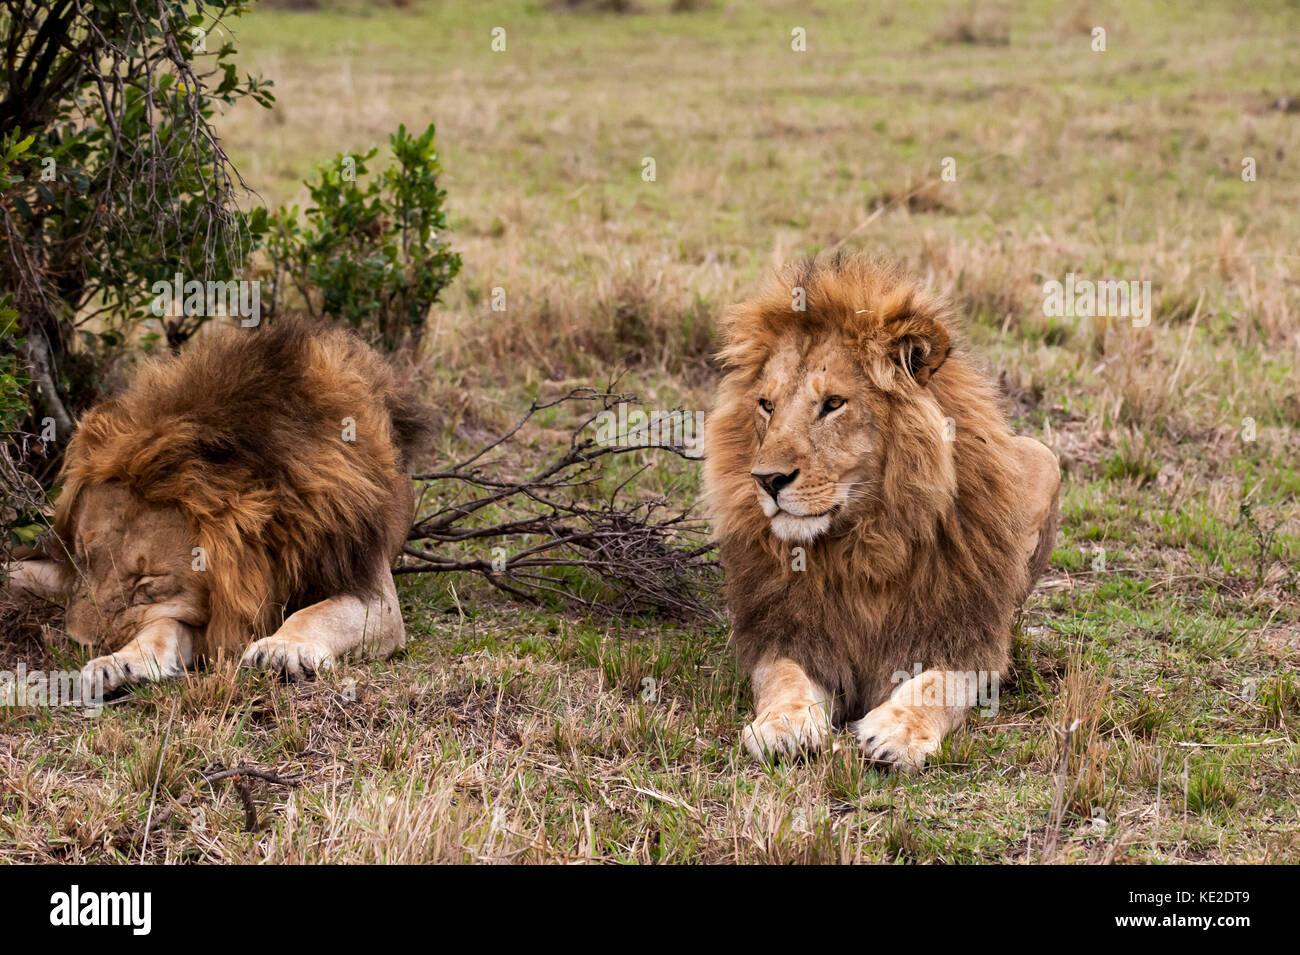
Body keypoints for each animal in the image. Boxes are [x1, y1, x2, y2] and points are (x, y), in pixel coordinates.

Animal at [2, 317, 428, 691]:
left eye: (146, 582)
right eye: (85, 559)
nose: (78, 643)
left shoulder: (373, 592)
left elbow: (317, 613)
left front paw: (282, 647)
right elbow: (159, 629)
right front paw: (121, 663)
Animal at [707, 257, 1060, 774]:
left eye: (833, 404)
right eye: (766, 405)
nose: (767, 480)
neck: (865, 542)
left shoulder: (966, 636)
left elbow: (938, 683)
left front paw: (896, 733)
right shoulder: (787, 633)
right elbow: (783, 678)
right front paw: (784, 726)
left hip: (1044, 456)